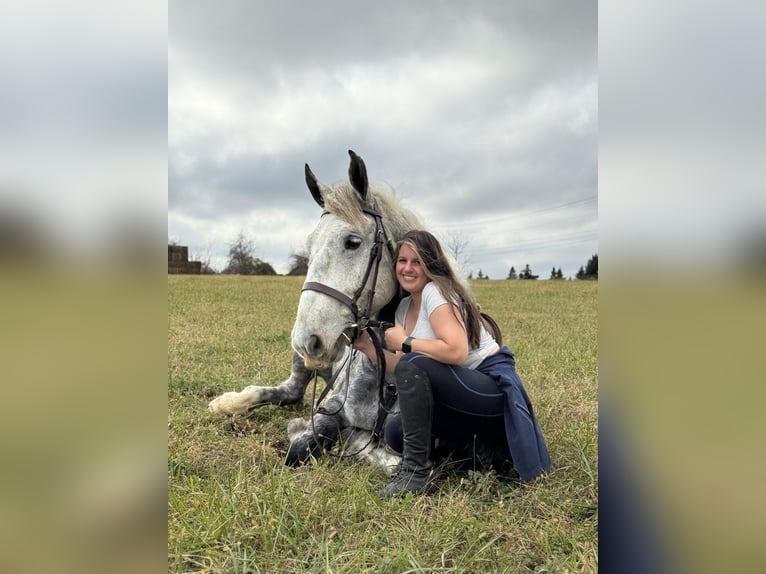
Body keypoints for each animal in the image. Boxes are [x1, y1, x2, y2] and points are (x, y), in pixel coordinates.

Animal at [208, 150, 423, 472]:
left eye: (352, 242)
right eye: (309, 245)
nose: (308, 340)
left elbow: (390, 459)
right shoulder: (331, 407)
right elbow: (304, 444)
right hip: (301, 367)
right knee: (288, 391)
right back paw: (230, 402)